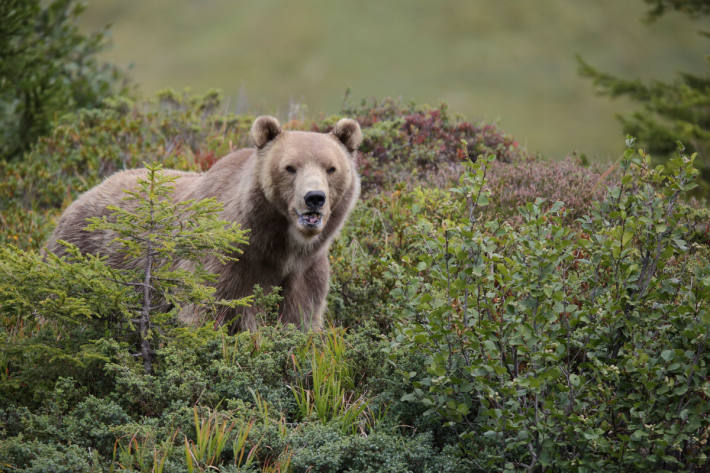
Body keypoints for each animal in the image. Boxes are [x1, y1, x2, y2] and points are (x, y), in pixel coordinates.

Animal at [46, 115, 362, 330]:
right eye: (290, 167)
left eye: (331, 168)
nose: (315, 198)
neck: (277, 247)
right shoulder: (222, 264)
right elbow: (203, 313)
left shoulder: (305, 274)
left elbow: (300, 321)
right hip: (80, 262)